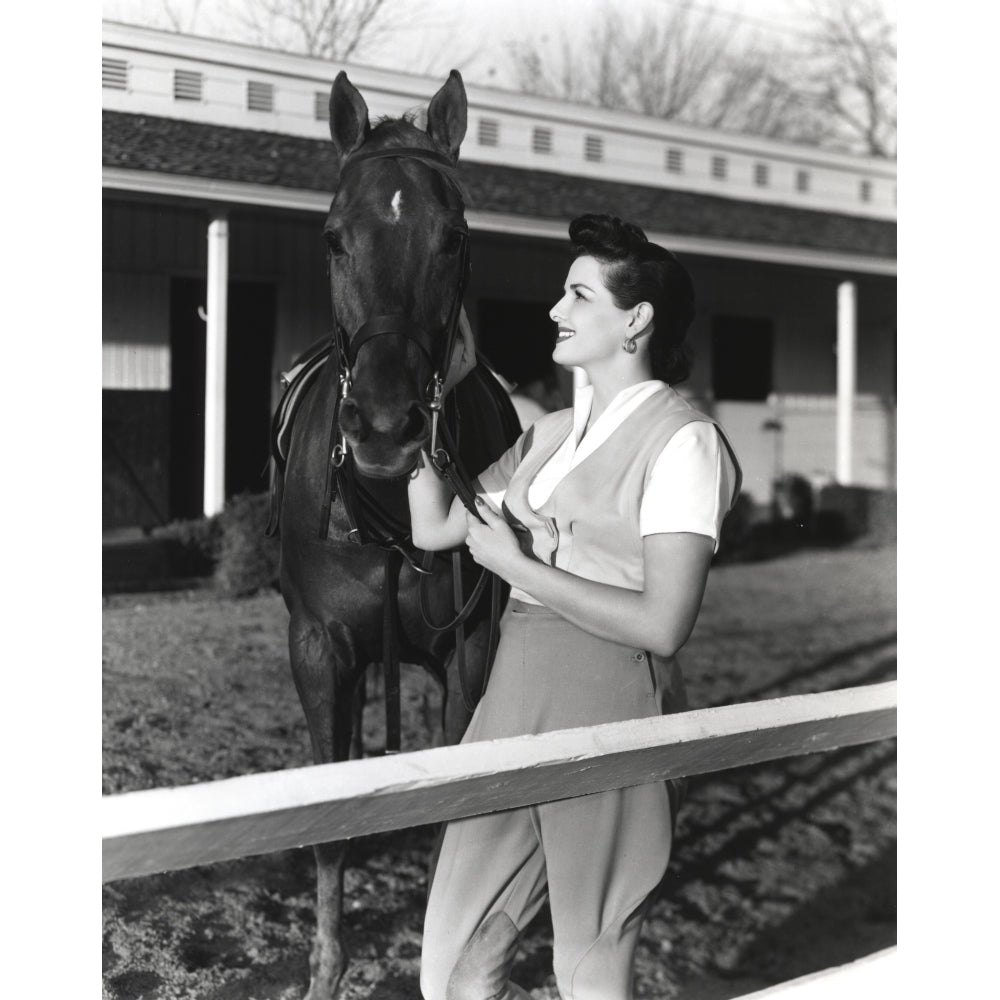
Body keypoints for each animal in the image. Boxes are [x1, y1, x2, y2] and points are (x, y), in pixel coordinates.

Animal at [274, 72, 524, 1000]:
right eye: (333, 238)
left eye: (453, 239)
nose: (385, 425)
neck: (385, 510)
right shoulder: (318, 646)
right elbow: (330, 822)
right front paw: (325, 968)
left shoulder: (470, 649)